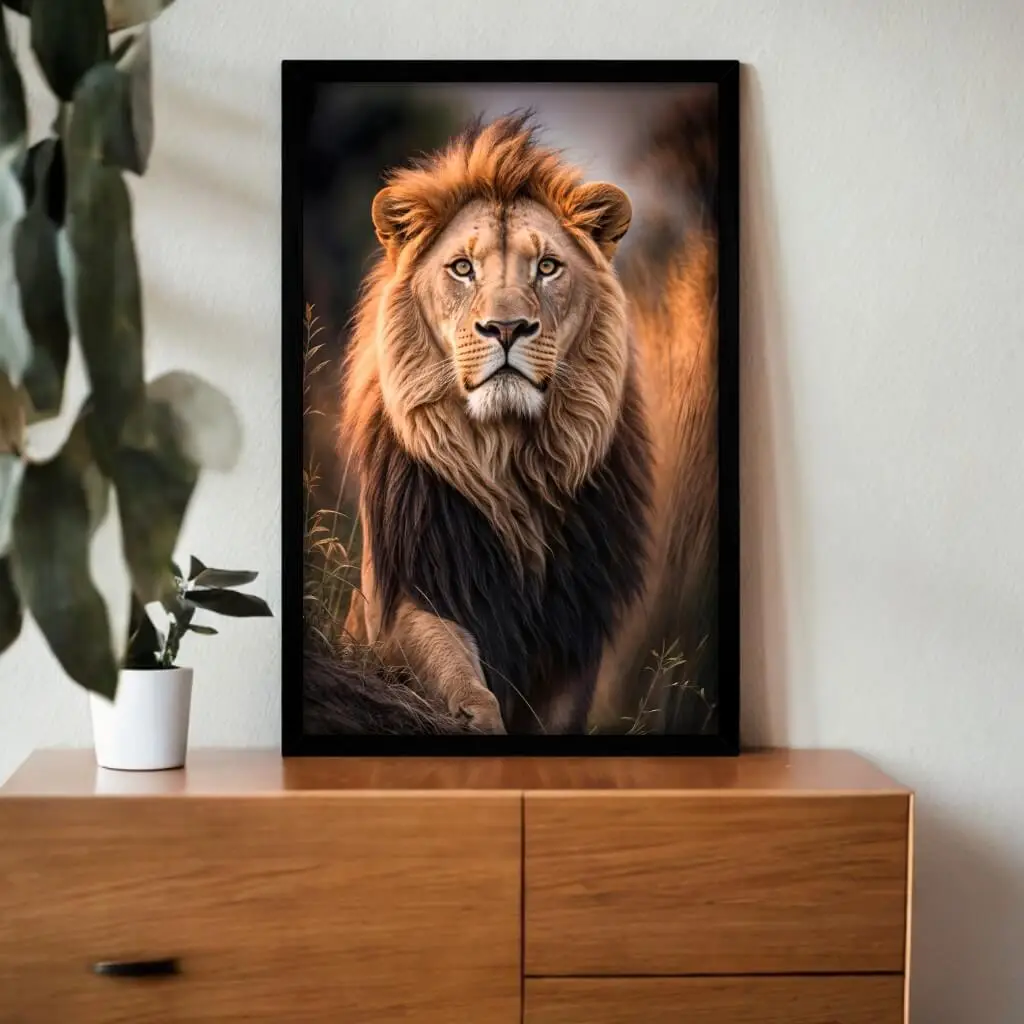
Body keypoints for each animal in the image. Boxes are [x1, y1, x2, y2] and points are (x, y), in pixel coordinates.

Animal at [340, 100, 719, 735]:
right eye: (462, 268)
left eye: (546, 267)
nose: (507, 327)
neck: (509, 461)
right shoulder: (405, 599)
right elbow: (455, 672)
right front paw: (477, 717)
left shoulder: (575, 631)